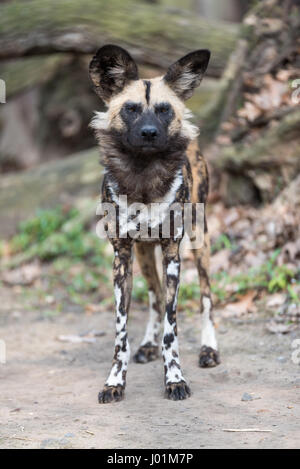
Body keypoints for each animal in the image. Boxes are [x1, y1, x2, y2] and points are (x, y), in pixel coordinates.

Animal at [89, 44, 220, 402]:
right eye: (131, 109)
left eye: (163, 110)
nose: (149, 133)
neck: (143, 177)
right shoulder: (122, 257)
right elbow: (122, 331)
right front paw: (114, 382)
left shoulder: (173, 253)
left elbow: (173, 330)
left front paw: (175, 379)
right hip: (145, 255)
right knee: (155, 296)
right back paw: (148, 343)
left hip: (200, 244)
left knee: (206, 298)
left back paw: (208, 349)